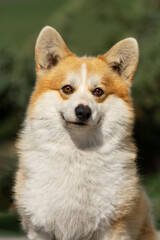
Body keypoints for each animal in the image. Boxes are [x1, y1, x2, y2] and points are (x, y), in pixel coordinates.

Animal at [13, 25, 159, 239]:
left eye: (98, 91)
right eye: (67, 89)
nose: (83, 111)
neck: (78, 152)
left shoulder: (111, 226)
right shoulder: (40, 228)